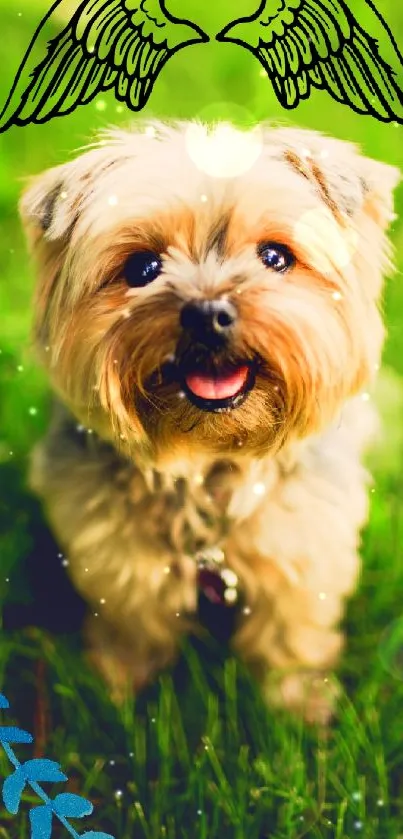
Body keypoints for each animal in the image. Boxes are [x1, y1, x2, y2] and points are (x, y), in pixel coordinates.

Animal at [21, 120, 400, 720]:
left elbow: (290, 631)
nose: (207, 313)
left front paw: (299, 712)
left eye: (275, 257)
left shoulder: (301, 543)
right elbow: (133, 626)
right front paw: (115, 697)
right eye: (143, 268)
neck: (208, 461)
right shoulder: (116, 555)